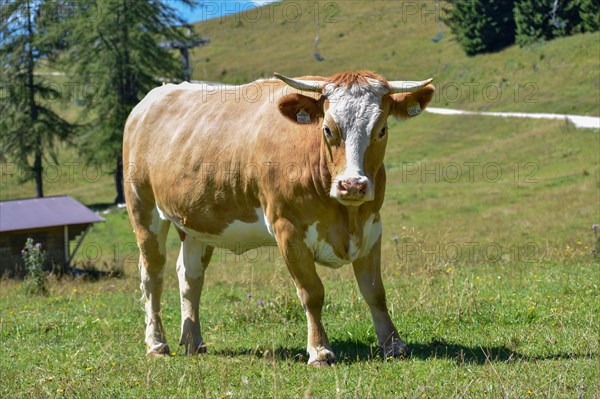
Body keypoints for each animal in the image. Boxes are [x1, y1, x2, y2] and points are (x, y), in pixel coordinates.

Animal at [123, 71, 432, 366]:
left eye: (381, 130)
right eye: (328, 129)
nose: (353, 185)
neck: (346, 215)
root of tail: (150, 99)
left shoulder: (371, 226)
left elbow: (375, 291)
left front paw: (393, 345)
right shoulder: (288, 229)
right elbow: (312, 292)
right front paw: (319, 351)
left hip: (197, 222)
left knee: (189, 275)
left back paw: (193, 341)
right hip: (142, 207)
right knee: (152, 275)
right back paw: (157, 344)